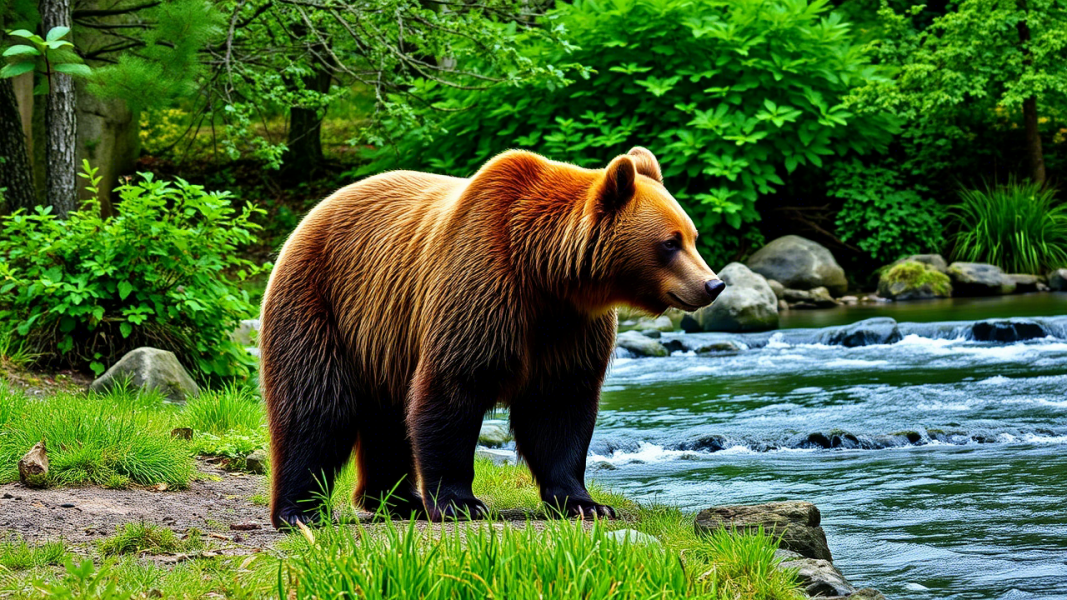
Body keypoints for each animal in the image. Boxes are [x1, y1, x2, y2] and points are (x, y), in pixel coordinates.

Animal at [259, 147, 725, 528]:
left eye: (693, 236)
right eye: (670, 242)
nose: (713, 284)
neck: (544, 274)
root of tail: (314, 212)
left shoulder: (569, 328)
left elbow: (560, 409)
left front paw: (586, 503)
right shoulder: (482, 289)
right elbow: (450, 392)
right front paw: (460, 502)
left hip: (381, 339)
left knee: (385, 417)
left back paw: (398, 500)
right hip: (320, 302)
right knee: (316, 406)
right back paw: (300, 511)